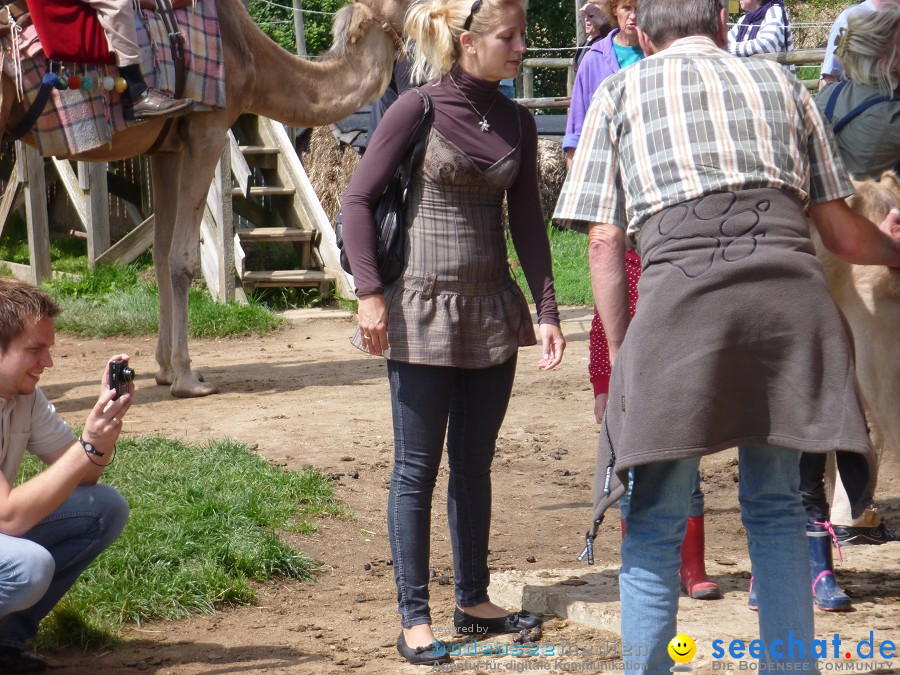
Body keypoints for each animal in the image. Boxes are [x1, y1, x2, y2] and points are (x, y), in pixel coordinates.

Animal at [0, 0, 408, 396]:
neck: (250, 59)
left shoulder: (165, 148)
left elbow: (161, 255)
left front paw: (164, 370)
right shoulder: (208, 126)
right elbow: (182, 258)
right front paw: (187, 378)